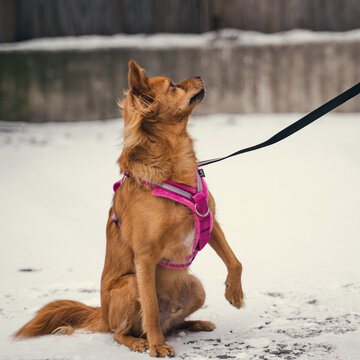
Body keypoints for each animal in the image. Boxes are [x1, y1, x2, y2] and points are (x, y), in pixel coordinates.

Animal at [14, 60, 245, 356]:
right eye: (172, 85)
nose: (199, 74)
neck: (174, 166)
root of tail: (102, 315)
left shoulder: (209, 221)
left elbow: (235, 260)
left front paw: (234, 293)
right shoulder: (145, 258)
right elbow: (150, 308)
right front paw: (156, 347)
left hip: (196, 288)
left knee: (173, 324)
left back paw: (195, 324)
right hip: (129, 283)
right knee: (121, 332)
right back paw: (139, 341)